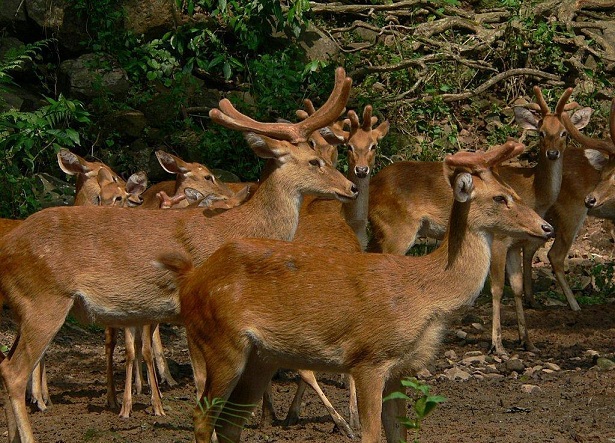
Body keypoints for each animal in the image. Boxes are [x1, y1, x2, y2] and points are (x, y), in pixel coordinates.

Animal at [0, 66, 356, 443]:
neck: (242, 227)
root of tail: (8, 246)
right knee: (15, 371)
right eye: (315, 161)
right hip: (44, 299)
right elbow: (203, 386)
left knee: (4, 363)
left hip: (25, 306)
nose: (351, 187)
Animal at [158, 140, 552, 443]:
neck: (426, 294)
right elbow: (370, 436)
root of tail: (191, 281)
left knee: (230, 424)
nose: (546, 227)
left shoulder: (400, 368)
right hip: (221, 342)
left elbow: (400, 435)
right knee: (202, 417)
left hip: (260, 357)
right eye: (502, 198)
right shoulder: (369, 358)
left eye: (515, 192)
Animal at [368, 87, 588, 358]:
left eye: (564, 133)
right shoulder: (500, 240)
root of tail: (370, 186)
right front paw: (497, 344)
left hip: (380, 230)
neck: (534, 192)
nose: (553, 153)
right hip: (397, 230)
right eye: (541, 132)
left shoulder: (515, 245)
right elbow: (497, 288)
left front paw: (527, 341)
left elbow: (516, 288)